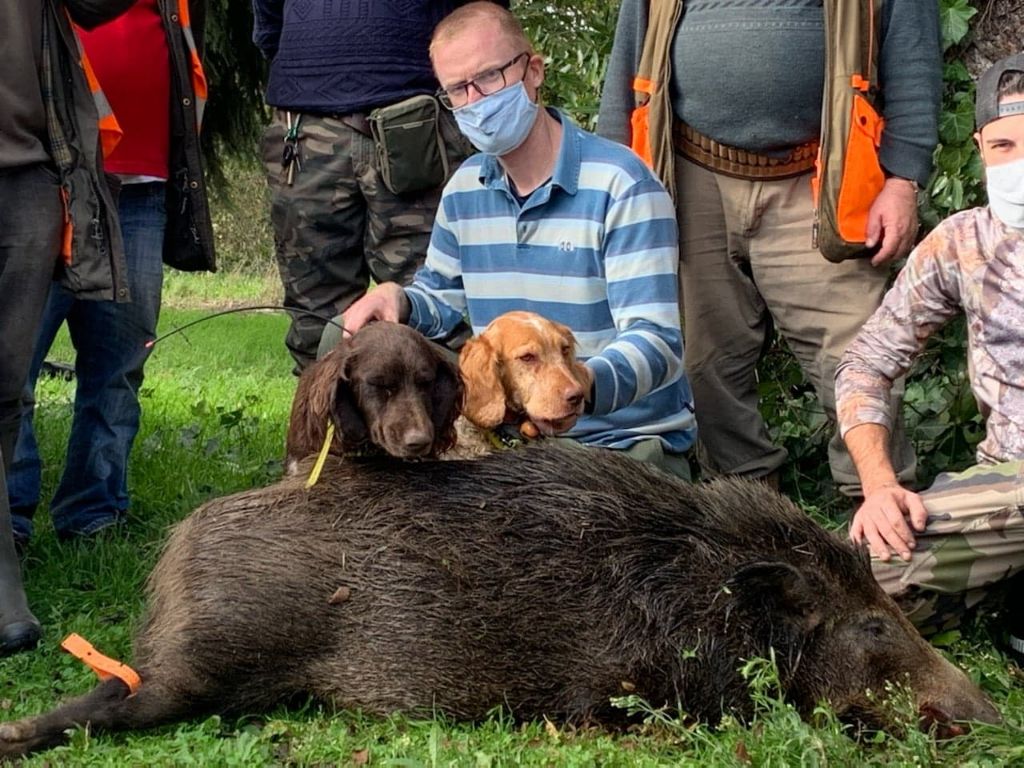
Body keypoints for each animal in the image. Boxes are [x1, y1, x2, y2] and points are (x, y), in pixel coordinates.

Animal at [0, 443, 999, 757]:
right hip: (202, 658)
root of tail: (172, 555)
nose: (988, 710)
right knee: (115, 698)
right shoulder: (614, 692)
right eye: (870, 621)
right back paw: (17, 732)